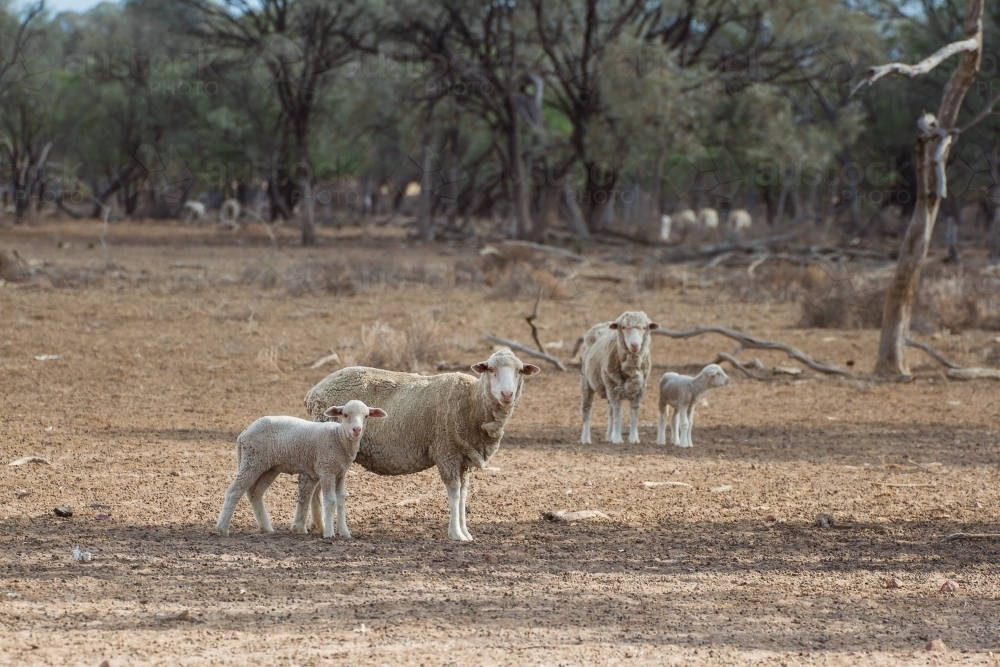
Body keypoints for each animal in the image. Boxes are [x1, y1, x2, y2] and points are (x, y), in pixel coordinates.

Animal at [216, 400, 387, 539]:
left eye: (366, 416)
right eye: (345, 415)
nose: (356, 430)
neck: (338, 438)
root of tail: (243, 433)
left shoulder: (340, 473)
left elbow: (341, 501)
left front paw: (345, 533)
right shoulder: (326, 470)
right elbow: (330, 500)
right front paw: (329, 533)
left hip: (268, 467)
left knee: (255, 493)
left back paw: (267, 528)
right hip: (252, 460)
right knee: (234, 491)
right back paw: (222, 529)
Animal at [299, 348, 541, 541]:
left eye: (519, 371)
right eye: (491, 369)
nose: (507, 393)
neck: (472, 402)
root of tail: (313, 392)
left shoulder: (464, 458)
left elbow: (463, 495)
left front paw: (466, 532)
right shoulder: (446, 452)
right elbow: (454, 494)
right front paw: (456, 534)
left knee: (316, 483)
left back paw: (317, 524)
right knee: (307, 483)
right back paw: (304, 526)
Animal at [580, 311, 660, 445]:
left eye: (644, 327)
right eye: (623, 327)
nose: (635, 345)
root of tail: (604, 323)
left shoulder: (640, 389)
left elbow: (634, 412)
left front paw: (633, 438)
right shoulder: (613, 387)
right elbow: (619, 412)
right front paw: (617, 438)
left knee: (610, 411)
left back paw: (609, 436)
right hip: (587, 382)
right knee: (587, 409)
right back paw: (585, 438)